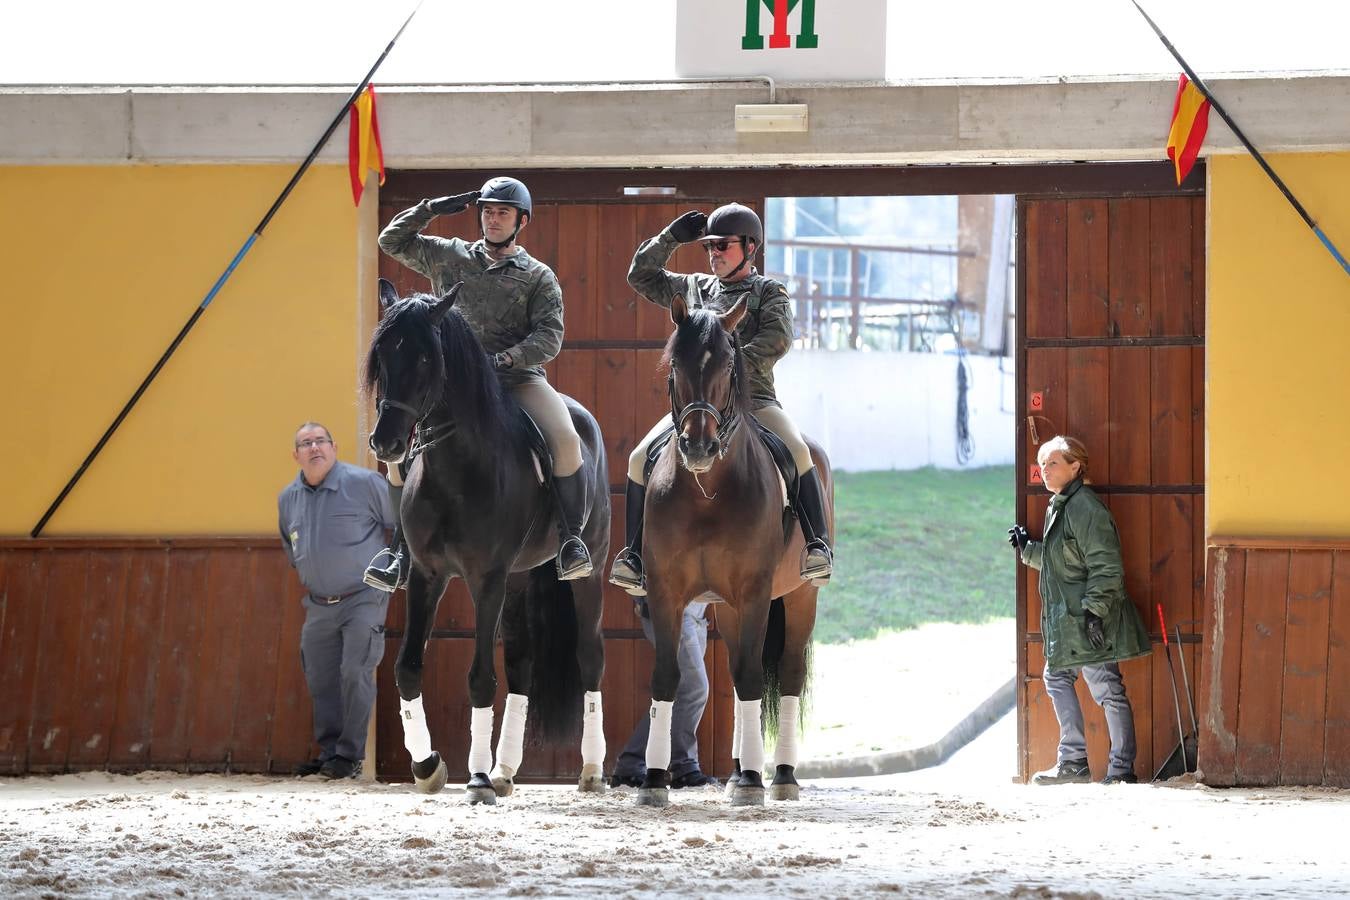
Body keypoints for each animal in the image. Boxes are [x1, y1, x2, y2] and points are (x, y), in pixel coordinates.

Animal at [364, 279, 607, 804]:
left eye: (425, 358)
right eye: (383, 357)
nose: (386, 443)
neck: (455, 469)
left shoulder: (486, 579)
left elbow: (478, 678)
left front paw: (473, 779)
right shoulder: (427, 576)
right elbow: (407, 669)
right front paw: (428, 766)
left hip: (587, 573)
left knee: (590, 657)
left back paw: (590, 769)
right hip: (517, 580)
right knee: (520, 664)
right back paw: (505, 770)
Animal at [634, 295, 831, 809]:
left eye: (727, 363)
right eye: (676, 364)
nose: (699, 446)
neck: (707, 491)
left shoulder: (755, 592)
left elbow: (751, 676)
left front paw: (753, 784)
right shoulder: (665, 592)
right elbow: (667, 677)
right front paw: (654, 780)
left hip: (800, 597)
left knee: (786, 673)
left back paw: (778, 776)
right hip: (727, 608)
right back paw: (742, 769)